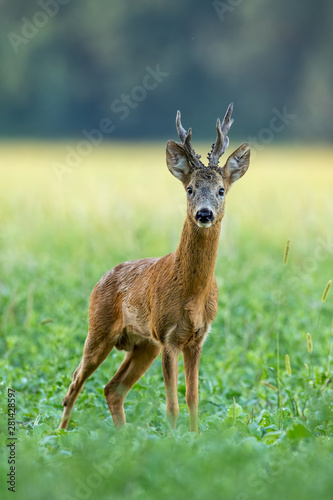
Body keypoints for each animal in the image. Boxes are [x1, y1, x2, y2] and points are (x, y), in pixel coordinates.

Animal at [59, 102, 249, 434]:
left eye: (221, 190)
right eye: (189, 189)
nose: (204, 214)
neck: (192, 294)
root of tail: (101, 280)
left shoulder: (197, 338)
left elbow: (193, 398)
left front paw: (196, 438)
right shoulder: (167, 335)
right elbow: (172, 405)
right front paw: (172, 441)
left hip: (142, 344)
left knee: (112, 388)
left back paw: (123, 437)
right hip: (99, 329)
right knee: (74, 382)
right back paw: (58, 435)